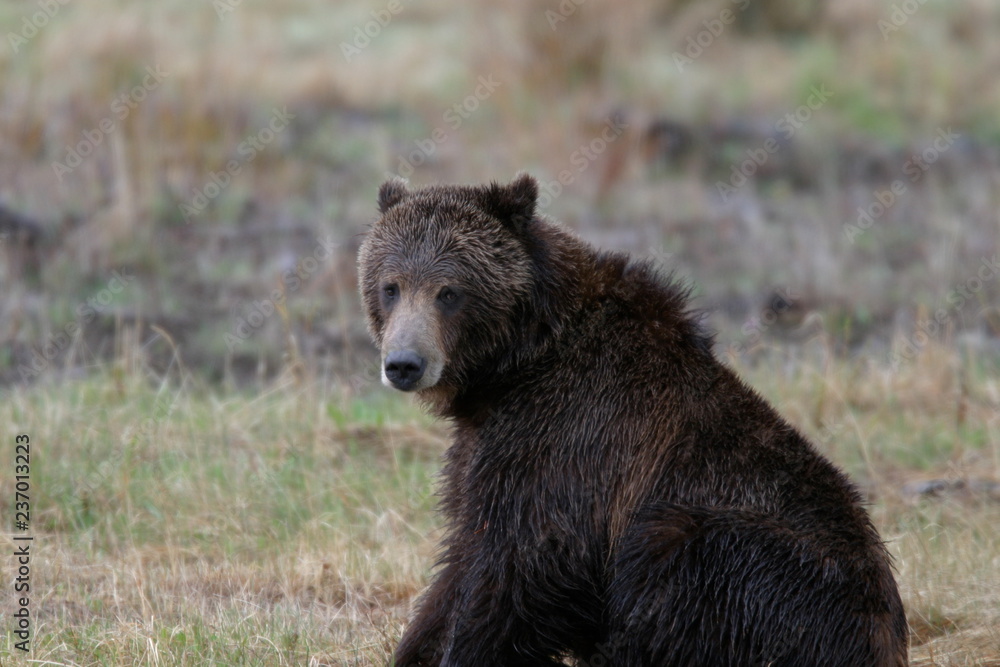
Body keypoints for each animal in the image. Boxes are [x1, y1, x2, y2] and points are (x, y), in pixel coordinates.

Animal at [357, 174, 908, 667]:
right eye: (391, 286)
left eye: (449, 291)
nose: (404, 364)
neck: (517, 362)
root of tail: (884, 637)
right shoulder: (485, 444)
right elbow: (463, 553)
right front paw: (417, 646)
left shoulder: (570, 435)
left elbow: (524, 563)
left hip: (770, 569)